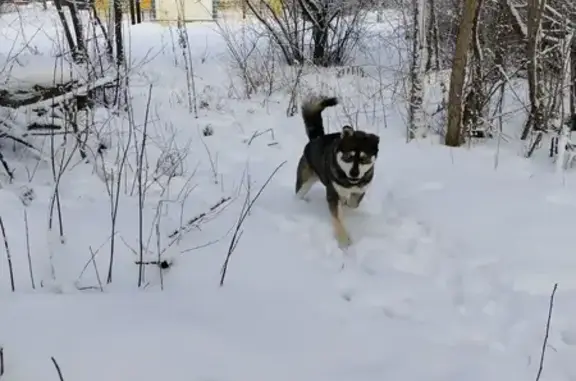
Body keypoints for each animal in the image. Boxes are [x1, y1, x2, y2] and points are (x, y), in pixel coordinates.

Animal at [294, 95, 380, 246]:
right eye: (348, 156)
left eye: (364, 159)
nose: (354, 173)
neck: (349, 183)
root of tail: (315, 139)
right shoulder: (333, 194)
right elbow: (337, 217)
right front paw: (343, 240)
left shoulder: (360, 190)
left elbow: (353, 203)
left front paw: (347, 204)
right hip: (304, 181)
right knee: (299, 193)